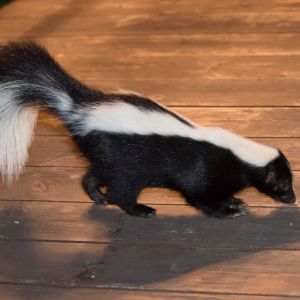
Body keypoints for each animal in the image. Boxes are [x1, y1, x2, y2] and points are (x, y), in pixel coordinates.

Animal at [0, 41, 296, 217]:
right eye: (282, 183)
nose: (293, 199)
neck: (235, 153)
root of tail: (78, 108)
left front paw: (235, 202)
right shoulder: (202, 170)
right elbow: (200, 197)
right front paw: (228, 210)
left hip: (107, 159)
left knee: (92, 177)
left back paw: (98, 197)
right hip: (125, 164)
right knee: (122, 191)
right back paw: (141, 209)